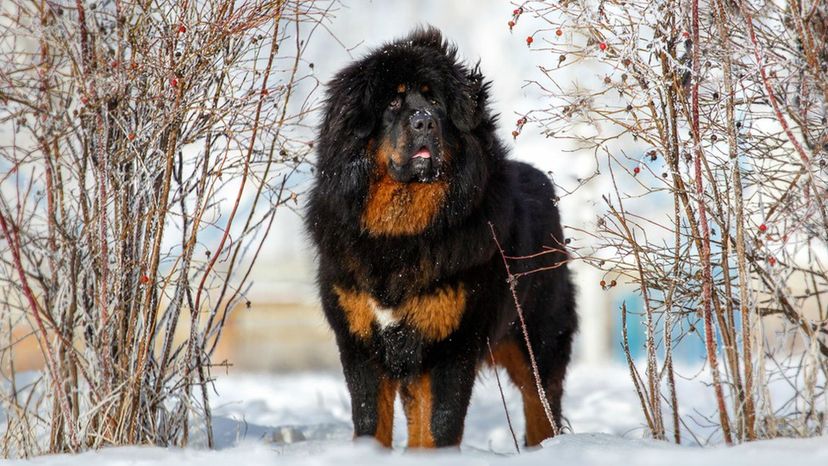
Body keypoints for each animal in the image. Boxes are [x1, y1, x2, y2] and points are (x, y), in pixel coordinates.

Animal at [304, 28, 576, 448]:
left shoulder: (451, 344)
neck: (400, 233)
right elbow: (372, 423)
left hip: (538, 343)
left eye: (434, 101)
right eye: (393, 102)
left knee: (541, 410)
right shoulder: (361, 343)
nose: (424, 122)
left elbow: (440, 425)